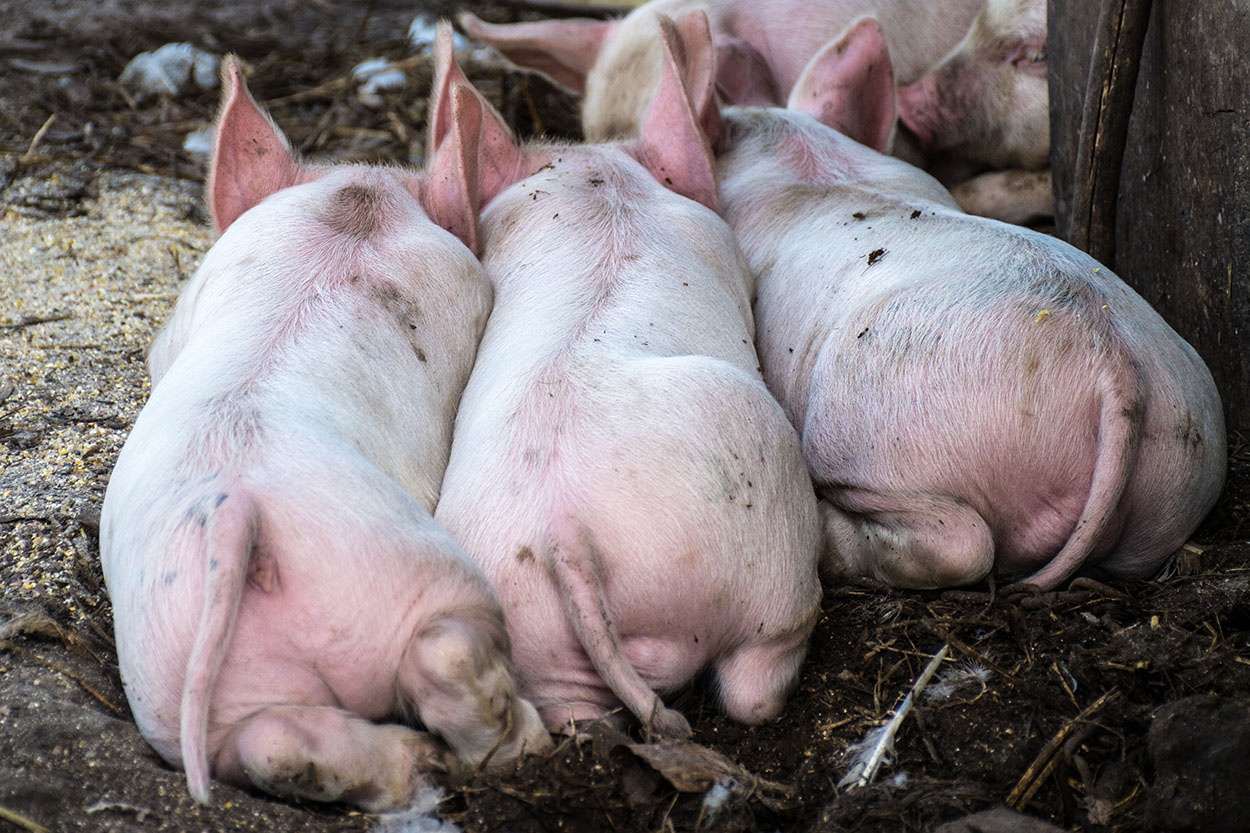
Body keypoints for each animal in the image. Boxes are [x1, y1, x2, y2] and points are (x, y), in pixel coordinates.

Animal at [96, 56, 547, 805]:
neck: (351, 211)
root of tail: (238, 507)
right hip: (411, 575)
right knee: (449, 653)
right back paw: (523, 743)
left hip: (165, 663)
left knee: (267, 741)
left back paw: (413, 764)